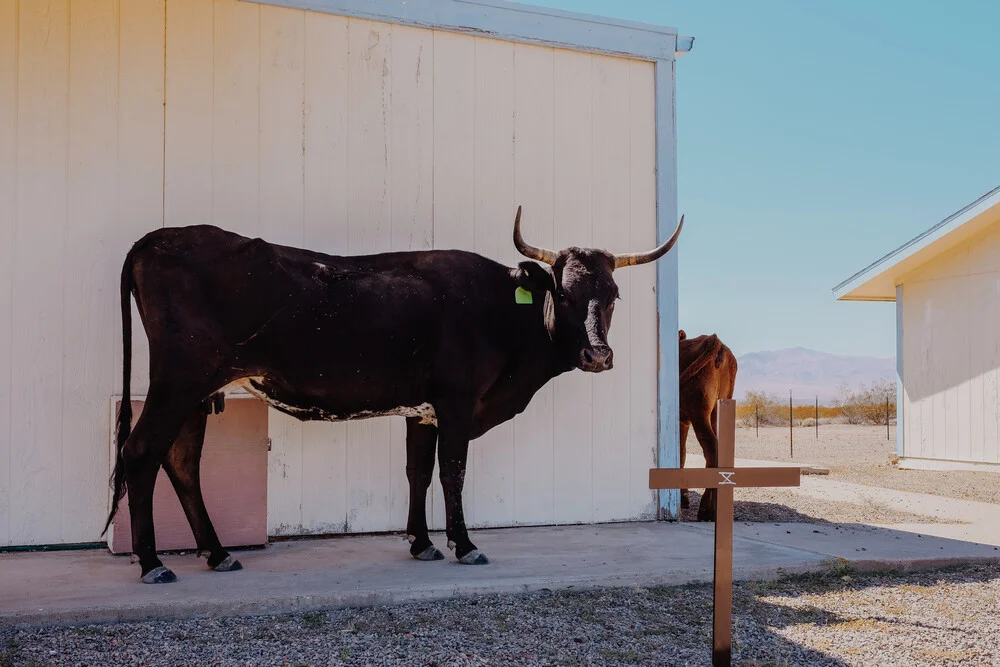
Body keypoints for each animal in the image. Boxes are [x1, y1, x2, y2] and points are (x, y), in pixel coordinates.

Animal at [101, 206, 684, 580]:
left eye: (613, 294)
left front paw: (421, 544)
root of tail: (159, 237)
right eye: (564, 294)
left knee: (181, 462)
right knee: (141, 452)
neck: (499, 310)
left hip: (195, 392)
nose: (598, 356)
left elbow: (417, 471)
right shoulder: (455, 402)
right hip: (178, 381)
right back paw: (153, 563)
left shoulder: (421, 411)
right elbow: (452, 472)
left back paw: (217, 554)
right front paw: (464, 545)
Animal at [676, 328, 740, 520]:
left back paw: (705, 510)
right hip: (718, 409)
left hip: (700, 414)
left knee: (711, 450)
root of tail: (714, 341)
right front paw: (683, 497)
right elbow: (681, 454)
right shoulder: (682, 421)